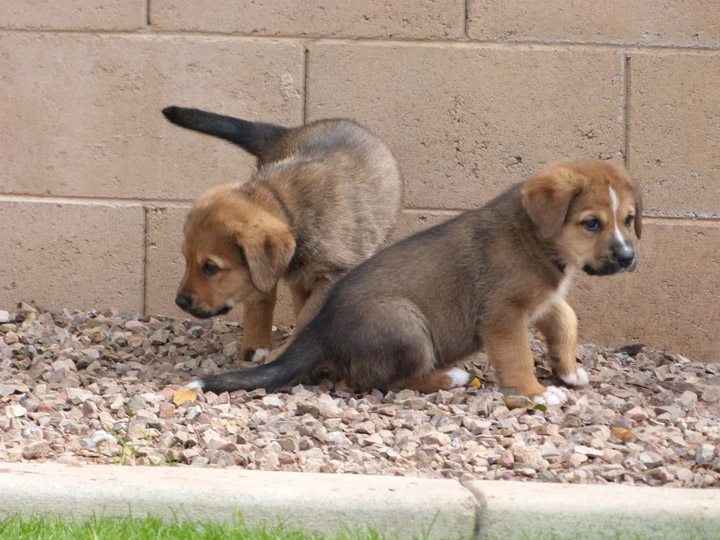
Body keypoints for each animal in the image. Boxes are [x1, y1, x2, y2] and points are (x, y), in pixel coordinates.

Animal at [163, 106, 400, 362]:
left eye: (210, 267)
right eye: (186, 260)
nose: (180, 301)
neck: (284, 205)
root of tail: (285, 132)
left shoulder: (333, 277)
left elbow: (307, 317)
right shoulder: (265, 274)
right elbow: (261, 300)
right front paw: (258, 345)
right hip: (296, 277)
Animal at [190, 158, 640, 402]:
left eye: (628, 219)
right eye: (591, 223)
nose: (628, 257)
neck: (535, 236)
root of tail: (321, 329)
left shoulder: (542, 300)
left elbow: (566, 320)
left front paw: (569, 369)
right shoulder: (503, 314)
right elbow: (517, 357)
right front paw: (535, 393)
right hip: (404, 321)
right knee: (385, 379)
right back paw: (451, 376)